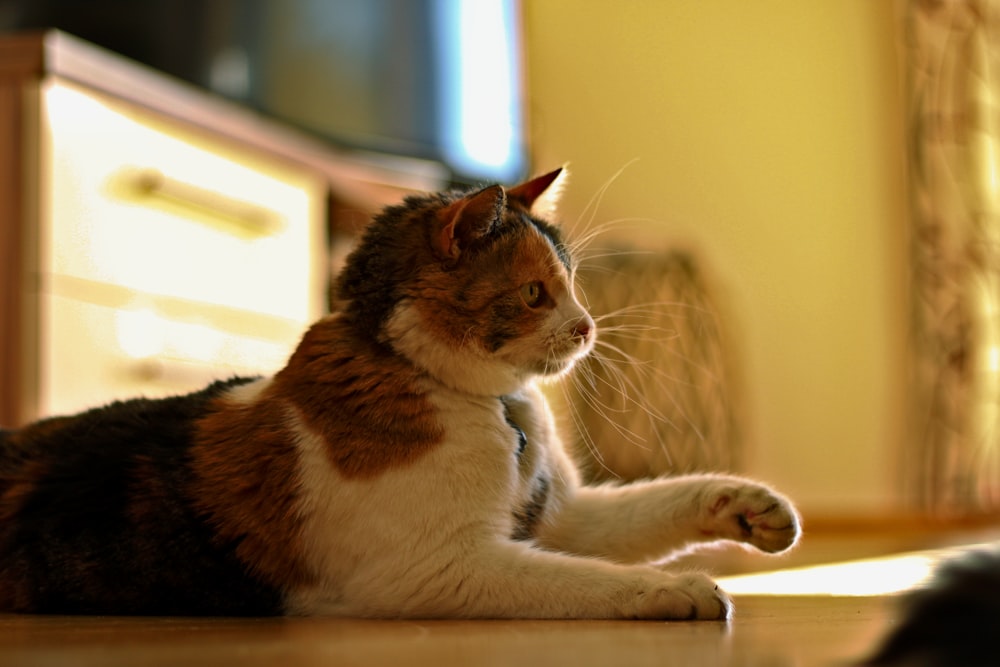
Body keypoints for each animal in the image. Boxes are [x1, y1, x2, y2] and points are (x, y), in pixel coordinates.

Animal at [0, 170, 796, 620]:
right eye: (536, 293)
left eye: (573, 283)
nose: (588, 325)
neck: (499, 411)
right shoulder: (439, 568)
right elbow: (584, 580)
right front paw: (676, 590)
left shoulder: (560, 517)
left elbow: (648, 510)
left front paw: (753, 507)